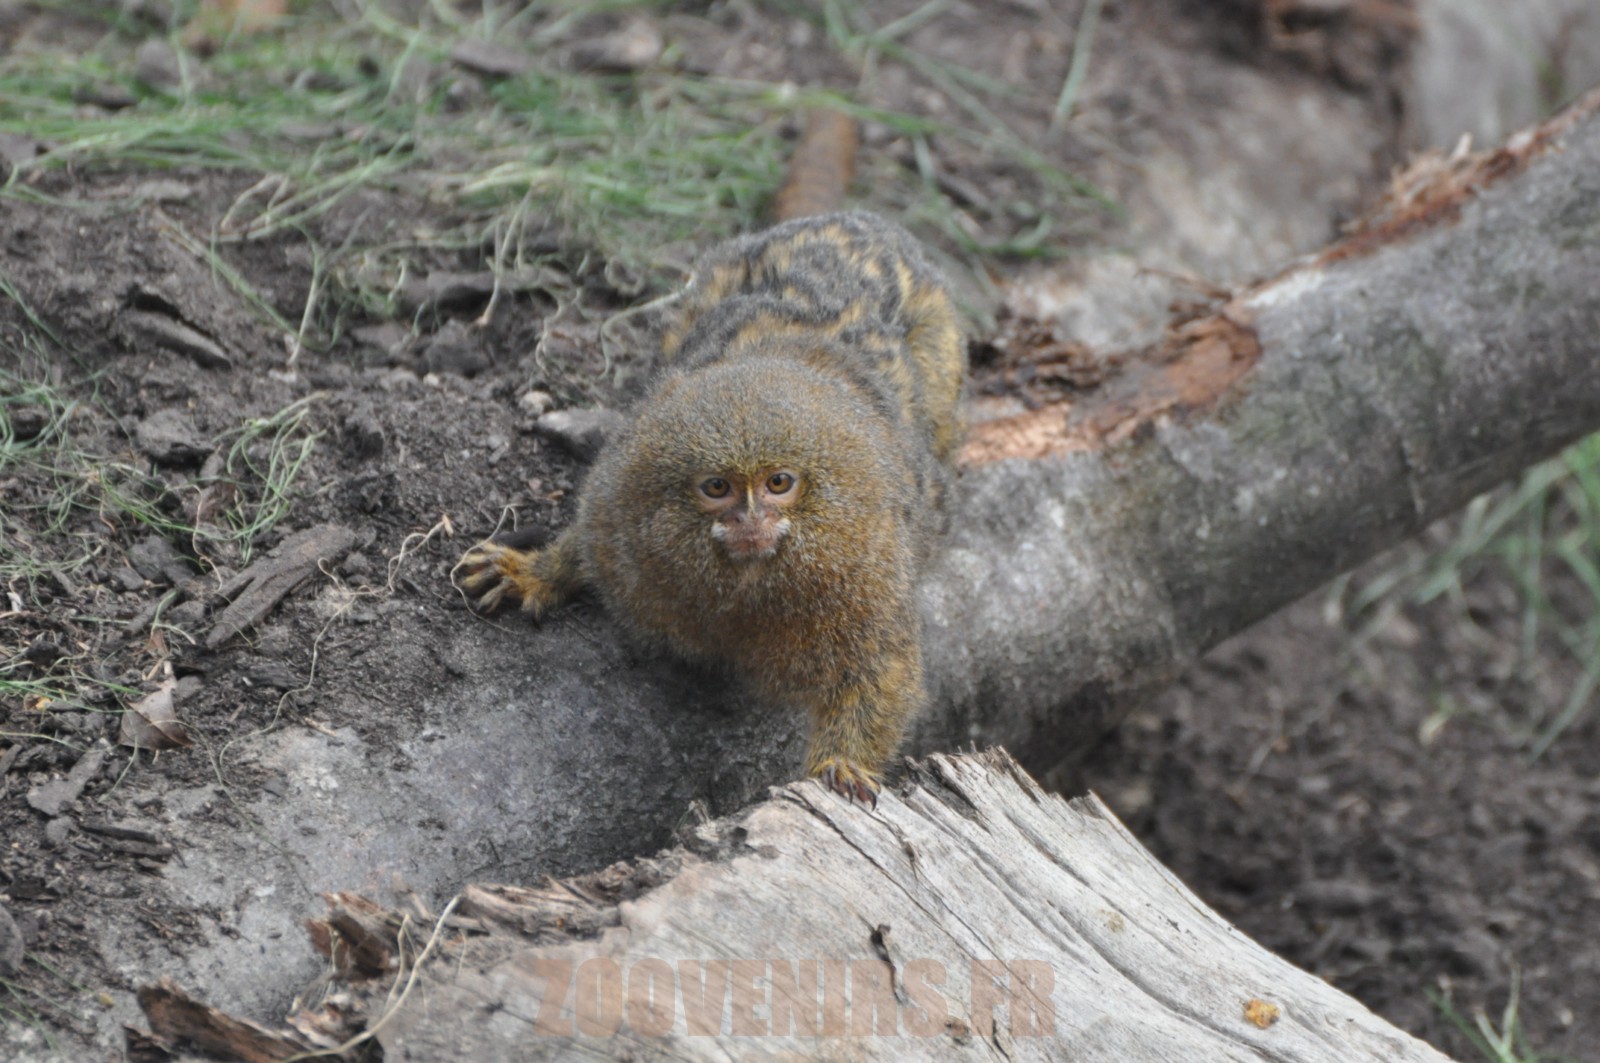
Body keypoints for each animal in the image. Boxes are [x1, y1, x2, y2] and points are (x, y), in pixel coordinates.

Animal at [456, 211, 965, 804]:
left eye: (778, 483)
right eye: (717, 488)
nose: (751, 522)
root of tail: (862, 222)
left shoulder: (869, 577)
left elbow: (879, 673)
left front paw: (842, 765)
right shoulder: (619, 516)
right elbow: (585, 544)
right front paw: (534, 572)